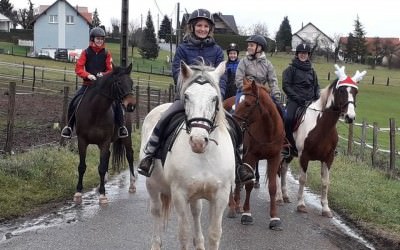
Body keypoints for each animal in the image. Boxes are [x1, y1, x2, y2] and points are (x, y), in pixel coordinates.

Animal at [71, 63, 135, 204]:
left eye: (131, 82)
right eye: (118, 82)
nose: (131, 106)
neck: (96, 111)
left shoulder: (104, 142)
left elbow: (101, 167)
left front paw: (102, 195)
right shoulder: (82, 141)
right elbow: (82, 166)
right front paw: (78, 192)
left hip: (126, 137)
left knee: (129, 155)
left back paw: (132, 185)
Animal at [140, 61, 234, 250]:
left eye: (214, 98)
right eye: (187, 96)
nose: (198, 141)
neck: (204, 156)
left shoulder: (221, 196)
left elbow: (214, 234)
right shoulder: (179, 195)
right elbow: (183, 234)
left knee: (196, 212)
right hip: (152, 185)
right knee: (156, 211)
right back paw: (156, 244)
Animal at [225, 78, 284, 230]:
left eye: (247, 104)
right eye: (238, 102)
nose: (232, 123)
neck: (268, 131)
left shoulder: (274, 158)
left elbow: (272, 187)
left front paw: (274, 218)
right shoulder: (250, 157)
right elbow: (249, 185)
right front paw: (247, 214)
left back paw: (237, 204)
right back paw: (232, 207)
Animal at [278, 64, 366, 217]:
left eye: (355, 91)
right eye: (341, 90)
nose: (350, 117)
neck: (322, 126)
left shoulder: (328, 158)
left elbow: (325, 182)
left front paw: (325, 208)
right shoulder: (304, 156)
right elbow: (303, 179)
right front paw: (301, 205)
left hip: (289, 154)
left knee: (283, 169)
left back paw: (285, 195)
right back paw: (277, 196)